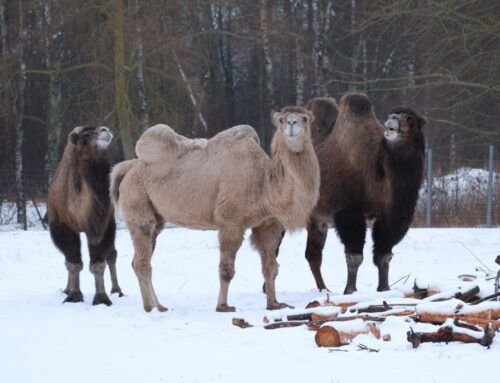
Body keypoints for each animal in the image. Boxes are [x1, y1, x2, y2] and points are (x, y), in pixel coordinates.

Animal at [47, 126, 123, 306]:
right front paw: (74, 296)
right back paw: (67, 289)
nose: (105, 129)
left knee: (112, 254)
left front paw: (102, 298)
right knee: (68, 258)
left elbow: (99, 263)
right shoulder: (62, 227)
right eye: (85, 135)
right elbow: (73, 263)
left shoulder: (102, 226)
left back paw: (117, 290)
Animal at [111, 106, 318, 314]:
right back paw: (150, 308)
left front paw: (274, 304)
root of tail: (128, 169)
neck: (264, 184)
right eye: (282, 120)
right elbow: (227, 270)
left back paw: (159, 306)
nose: (292, 124)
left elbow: (271, 267)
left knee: (139, 258)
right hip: (138, 206)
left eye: (305, 118)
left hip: (156, 218)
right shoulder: (230, 222)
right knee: (142, 260)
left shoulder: (268, 224)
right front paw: (223, 306)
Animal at [300, 93, 426, 294]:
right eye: (392, 114)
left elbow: (384, 255)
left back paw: (324, 290)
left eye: (410, 118)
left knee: (313, 254)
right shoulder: (348, 211)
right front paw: (350, 290)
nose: (392, 119)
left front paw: (384, 289)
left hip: (318, 219)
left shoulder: (387, 216)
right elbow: (354, 256)